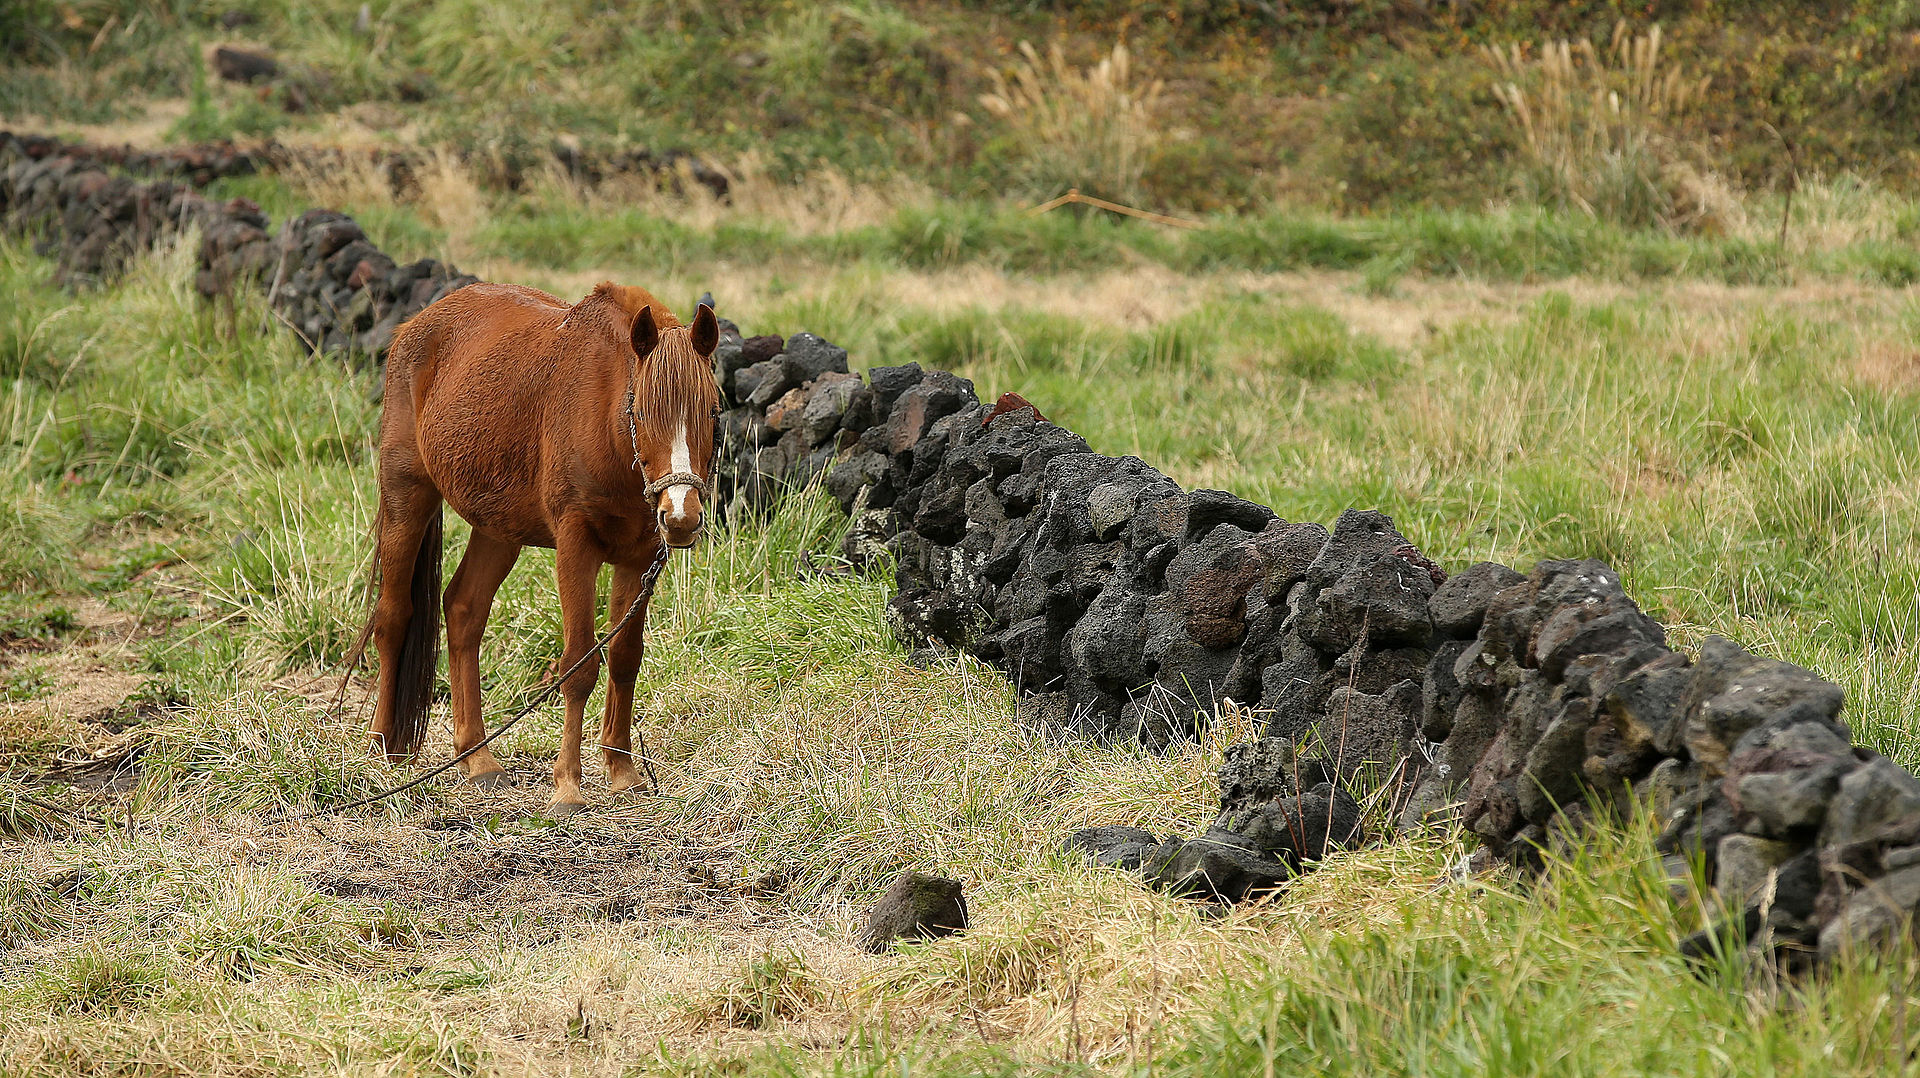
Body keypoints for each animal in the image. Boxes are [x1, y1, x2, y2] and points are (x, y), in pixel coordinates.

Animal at [365, 280, 720, 814]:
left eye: (713, 412)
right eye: (640, 412)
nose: (681, 515)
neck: (608, 425)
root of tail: (415, 326)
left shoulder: (639, 558)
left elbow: (624, 658)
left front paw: (622, 773)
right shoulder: (576, 548)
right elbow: (579, 665)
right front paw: (568, 788)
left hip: (497, 528)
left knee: (464, 610)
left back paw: (478, 760)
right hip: (407, 496)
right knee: (393, 617)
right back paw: (385, 748)